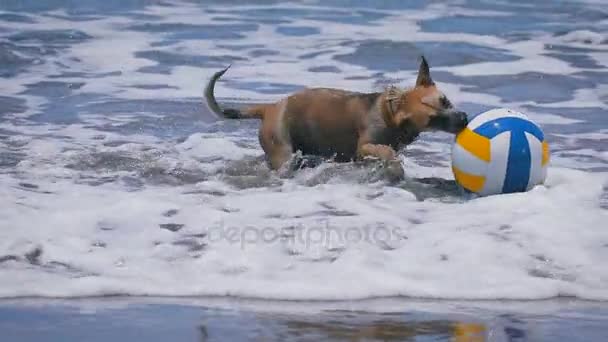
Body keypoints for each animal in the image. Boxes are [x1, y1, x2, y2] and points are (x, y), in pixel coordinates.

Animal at [207, 57, 468, 172]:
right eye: (433, 119)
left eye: (445, 101)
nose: (464, 119)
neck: (390, 112)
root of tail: (270, 107)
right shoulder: (364, 147)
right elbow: (384, 151)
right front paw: (393, 161)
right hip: (282, 150)